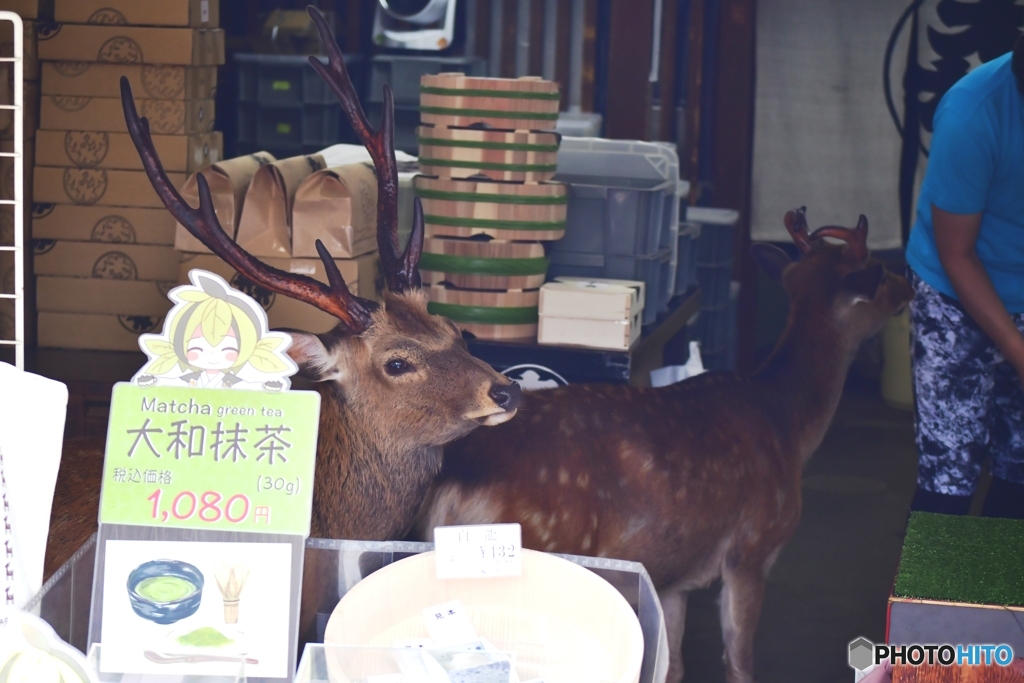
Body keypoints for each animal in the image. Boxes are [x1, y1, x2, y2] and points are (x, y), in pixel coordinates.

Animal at [417, 210, 914, 683]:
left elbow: (672, 664)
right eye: (879, 270)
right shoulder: (752, 548)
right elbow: (740, 666)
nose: (909, 283)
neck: (787, 423)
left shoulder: (675, 574)